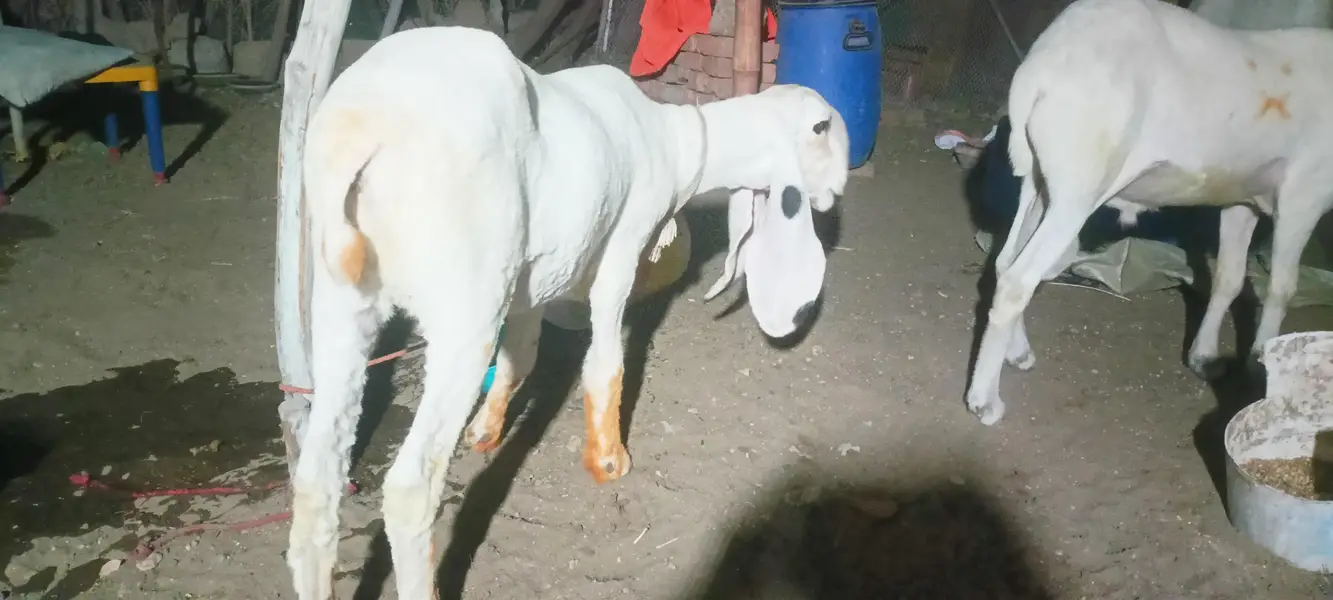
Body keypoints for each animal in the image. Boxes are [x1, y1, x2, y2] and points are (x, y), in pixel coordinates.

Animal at [289, 26, 849, 600]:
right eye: (822, 127)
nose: (838, 192)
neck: (677, 143)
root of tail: (360, 128)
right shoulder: (622, 246)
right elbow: (606, 363)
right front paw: (608, 461)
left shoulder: (530, 286)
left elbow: (520, 361)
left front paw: (486, 431)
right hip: (466, 308)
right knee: (409, 487)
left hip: (341, 307)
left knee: (315, 484)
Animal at [966, 0, 1333, 425]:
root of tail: (1043, 64)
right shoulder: (1305, 193)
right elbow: (1281, 287)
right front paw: (1261, 370)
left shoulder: (1241, 201)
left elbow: (1228, 278)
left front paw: (1204, 357)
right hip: (1079, 189)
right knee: (1018, 279)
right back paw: (984, 399)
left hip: (1038, 182)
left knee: (1006, 262)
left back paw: (1017, 352)